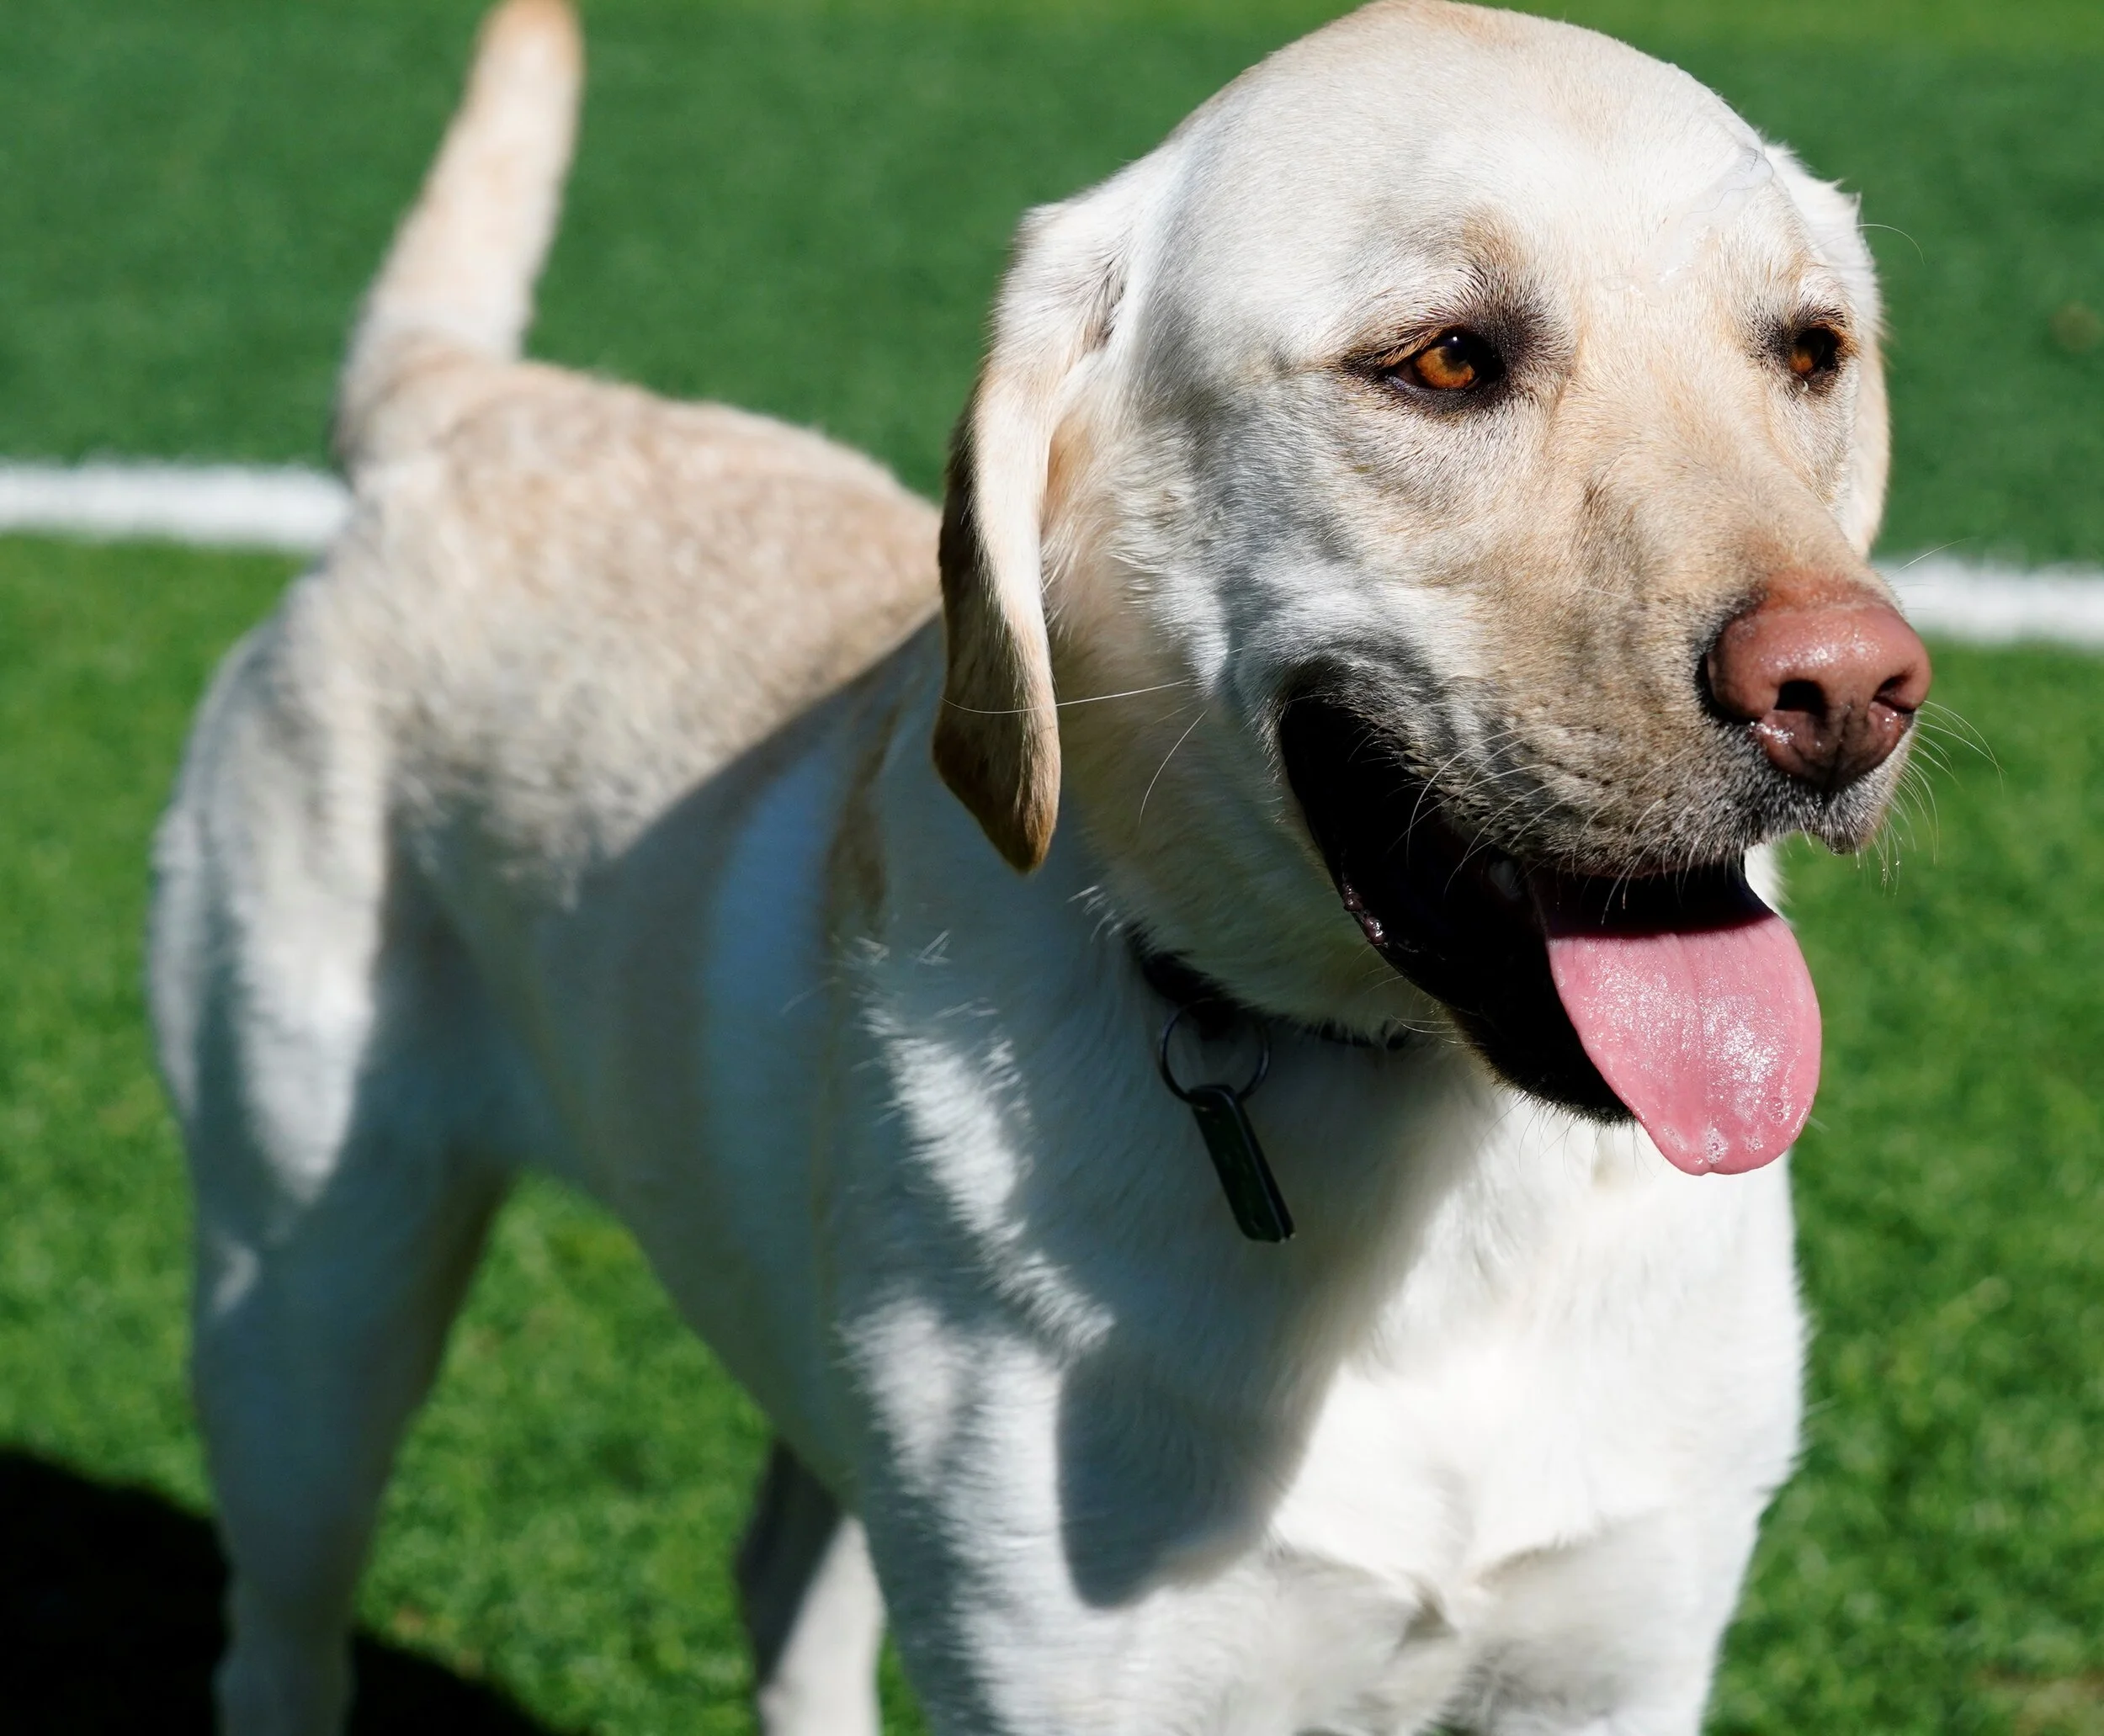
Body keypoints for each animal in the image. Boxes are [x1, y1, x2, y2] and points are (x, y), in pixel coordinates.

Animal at [149, 1, 1931, 1730]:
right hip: (307, 1306)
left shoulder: (1618, 1660)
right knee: (277, 1631)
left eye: (1811, 350)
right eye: (1441, 360)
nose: (1850, 687)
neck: (1425, 1171)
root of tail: (474, 403)